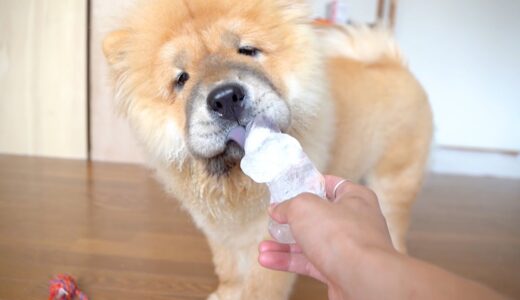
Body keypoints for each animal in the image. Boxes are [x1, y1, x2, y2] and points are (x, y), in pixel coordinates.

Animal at [103, 0, 432, 298]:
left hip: (394, 182)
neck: (235, 182)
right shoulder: (220, 233)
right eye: (181, 78)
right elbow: (229, 271)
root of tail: (394, 64)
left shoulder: (267, 238)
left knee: (393, 226)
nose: (226, 98)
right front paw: (226, 294)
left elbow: (259, 287)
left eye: (247, 51)